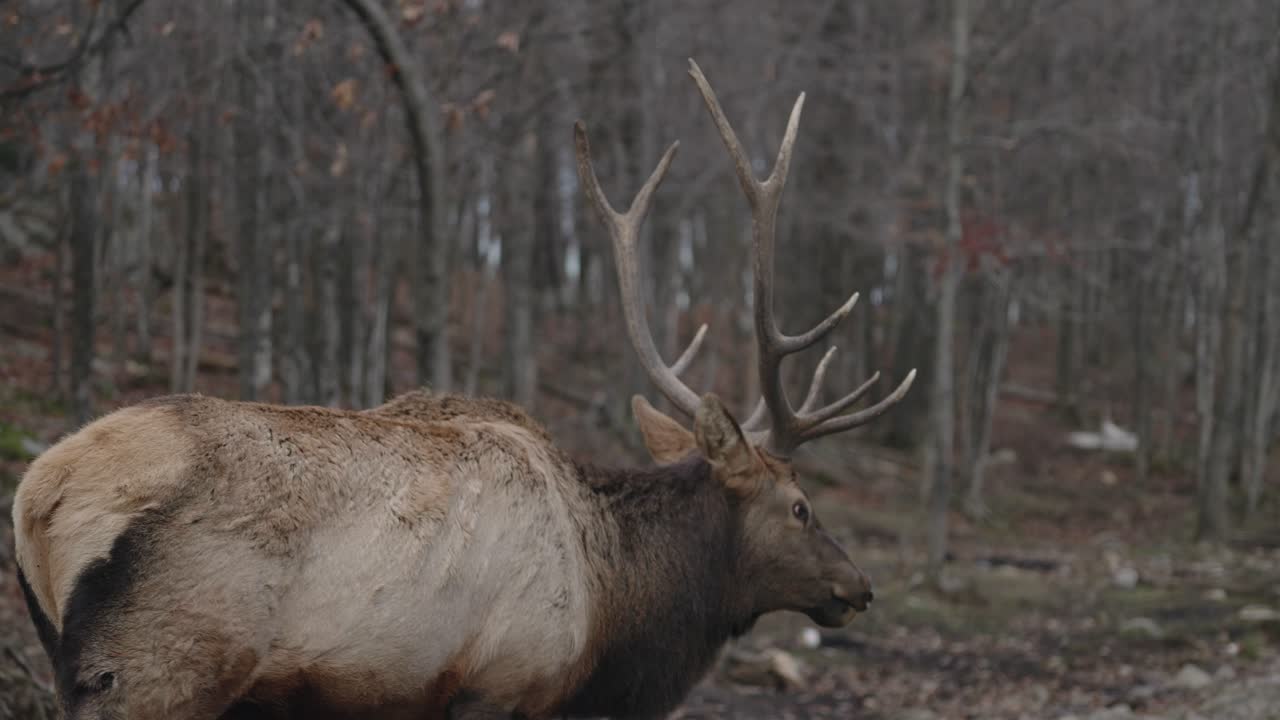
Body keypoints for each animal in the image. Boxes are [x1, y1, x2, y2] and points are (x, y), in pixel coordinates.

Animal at [10, 59, 914, 720]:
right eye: (800, 505)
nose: (860, 587)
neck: (611, 609)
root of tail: (38, 496)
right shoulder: (503, 684)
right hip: (156, 670)